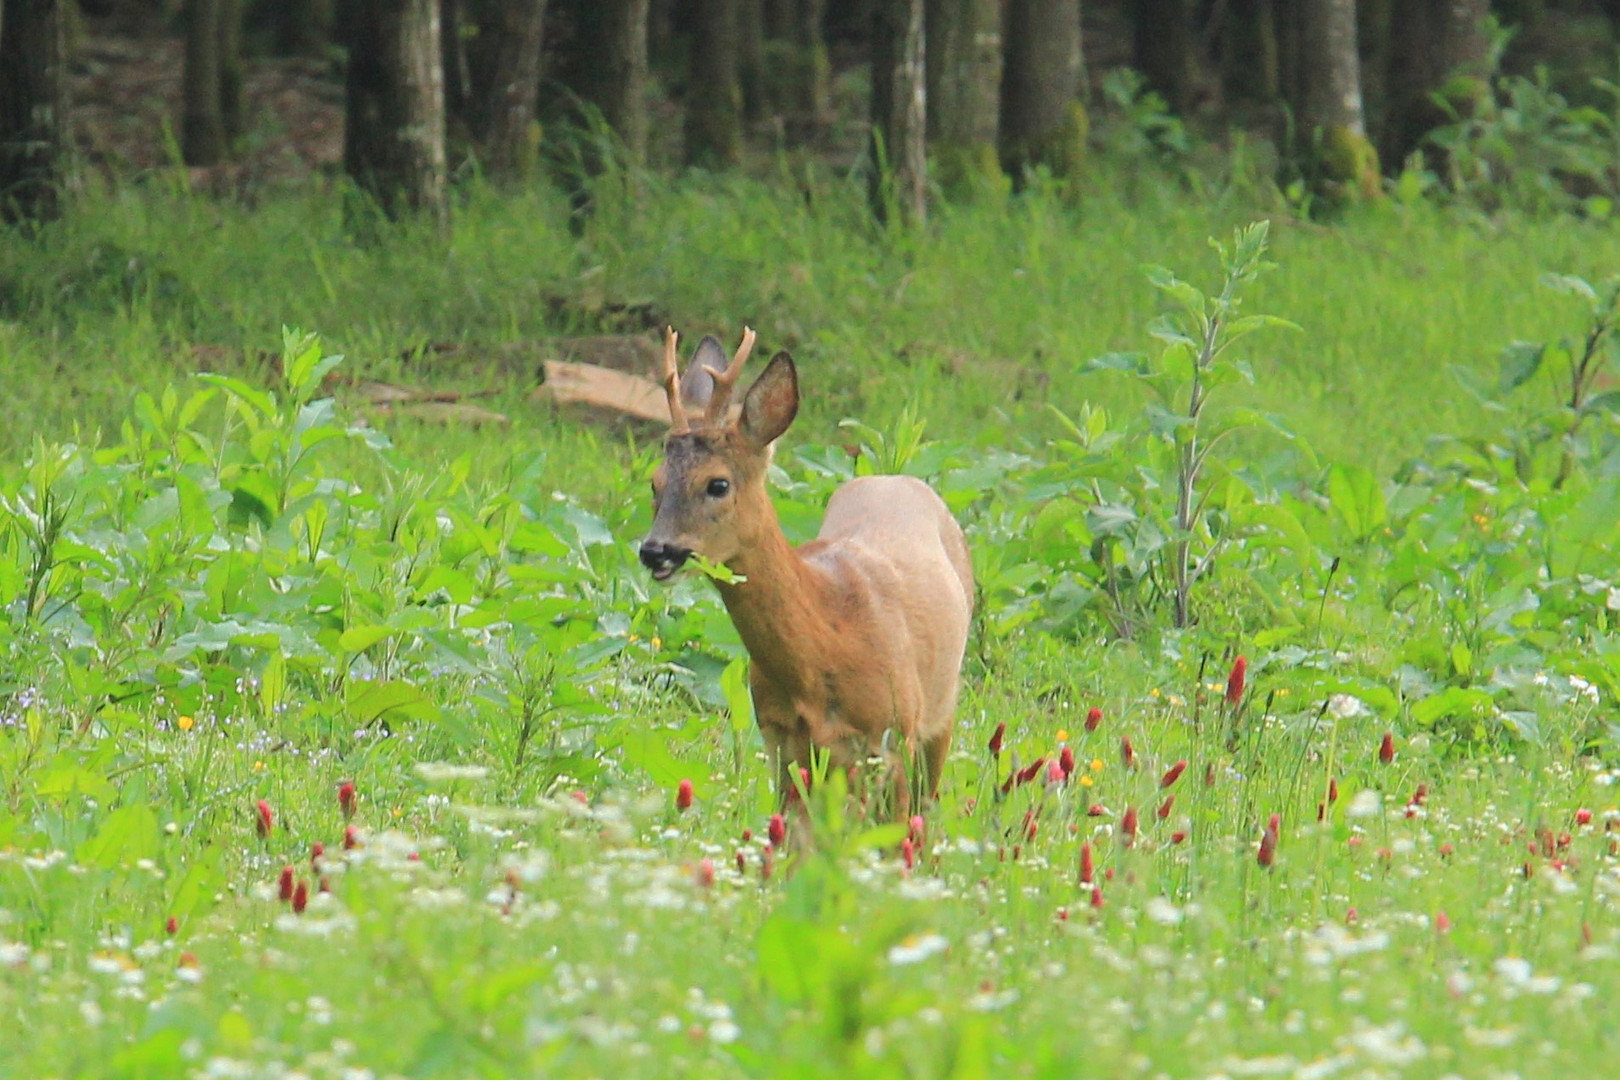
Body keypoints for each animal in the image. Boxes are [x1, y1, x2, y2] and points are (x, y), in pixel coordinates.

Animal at [635, 325, 972, 816]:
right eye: (655, 482)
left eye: (718, 483)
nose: (656, 551)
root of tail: (896, 477)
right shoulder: (780, 738)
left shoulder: (896, 731)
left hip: (940, 709)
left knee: (925, 807)